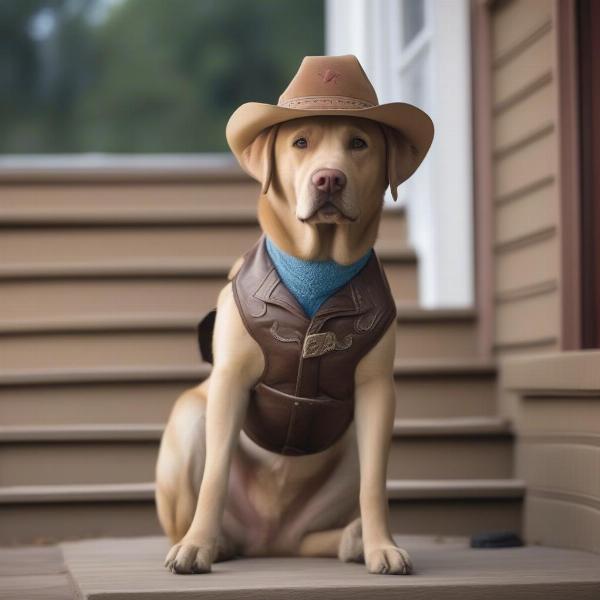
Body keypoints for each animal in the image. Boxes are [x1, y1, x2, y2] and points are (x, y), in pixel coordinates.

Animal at [155, 112, 418, 576]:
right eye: (300, 143)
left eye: (358, 143)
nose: (328, 178)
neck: (319, 266)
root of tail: (268, 539)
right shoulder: (229, 381)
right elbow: (215, 475)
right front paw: (196, 546)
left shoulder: (377, 390)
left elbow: (374, 484)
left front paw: (381, 546)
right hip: (189, 417)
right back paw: (214, 543)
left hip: (344, 453)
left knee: (311, 535)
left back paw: (352, 540)